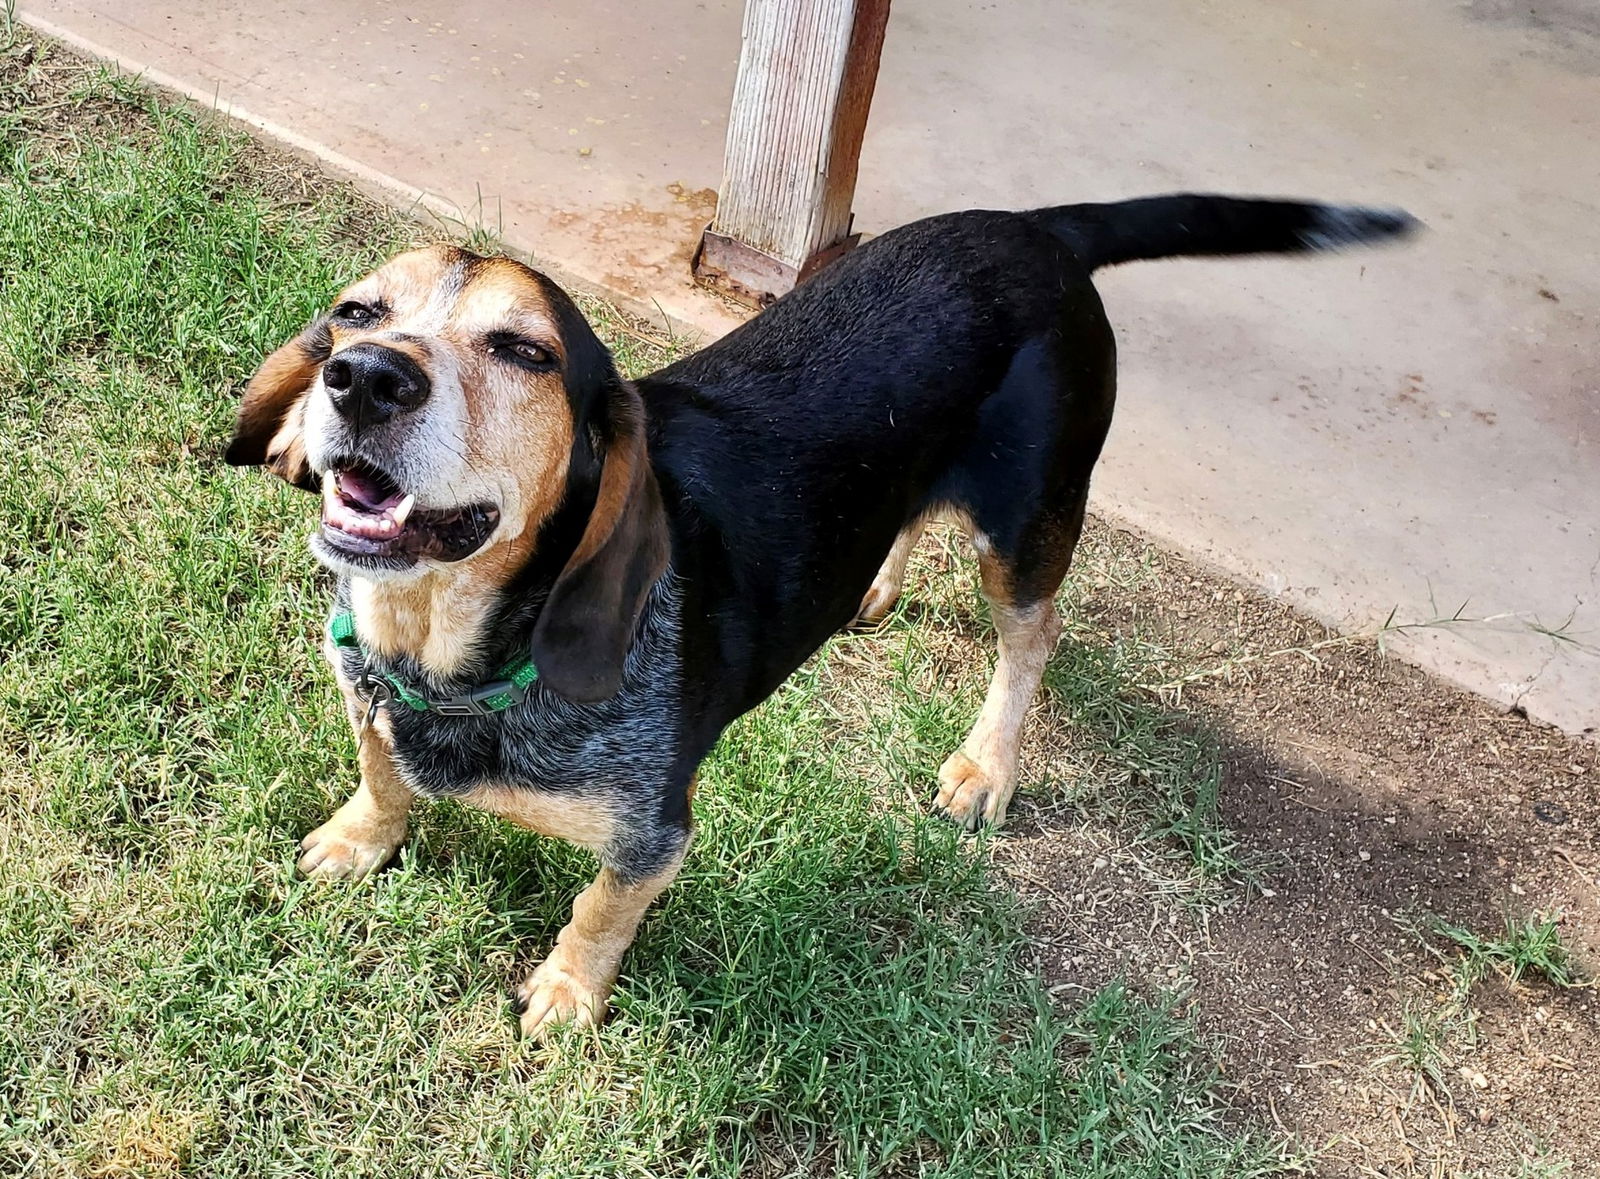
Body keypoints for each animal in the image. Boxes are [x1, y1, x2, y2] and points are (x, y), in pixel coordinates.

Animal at [222, 193, 1414, 1030]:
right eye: (356, 312)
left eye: (525, 352)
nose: (364, 375)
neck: (449, 653)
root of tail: (1035, 229)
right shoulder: (366, 691)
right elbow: (380, 772)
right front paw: (358, 838)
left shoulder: (655, 833)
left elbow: (603, 909)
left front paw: (566, 994)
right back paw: (874, 585)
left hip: (1029, 520)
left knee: (1033, 636)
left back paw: (987, 763)